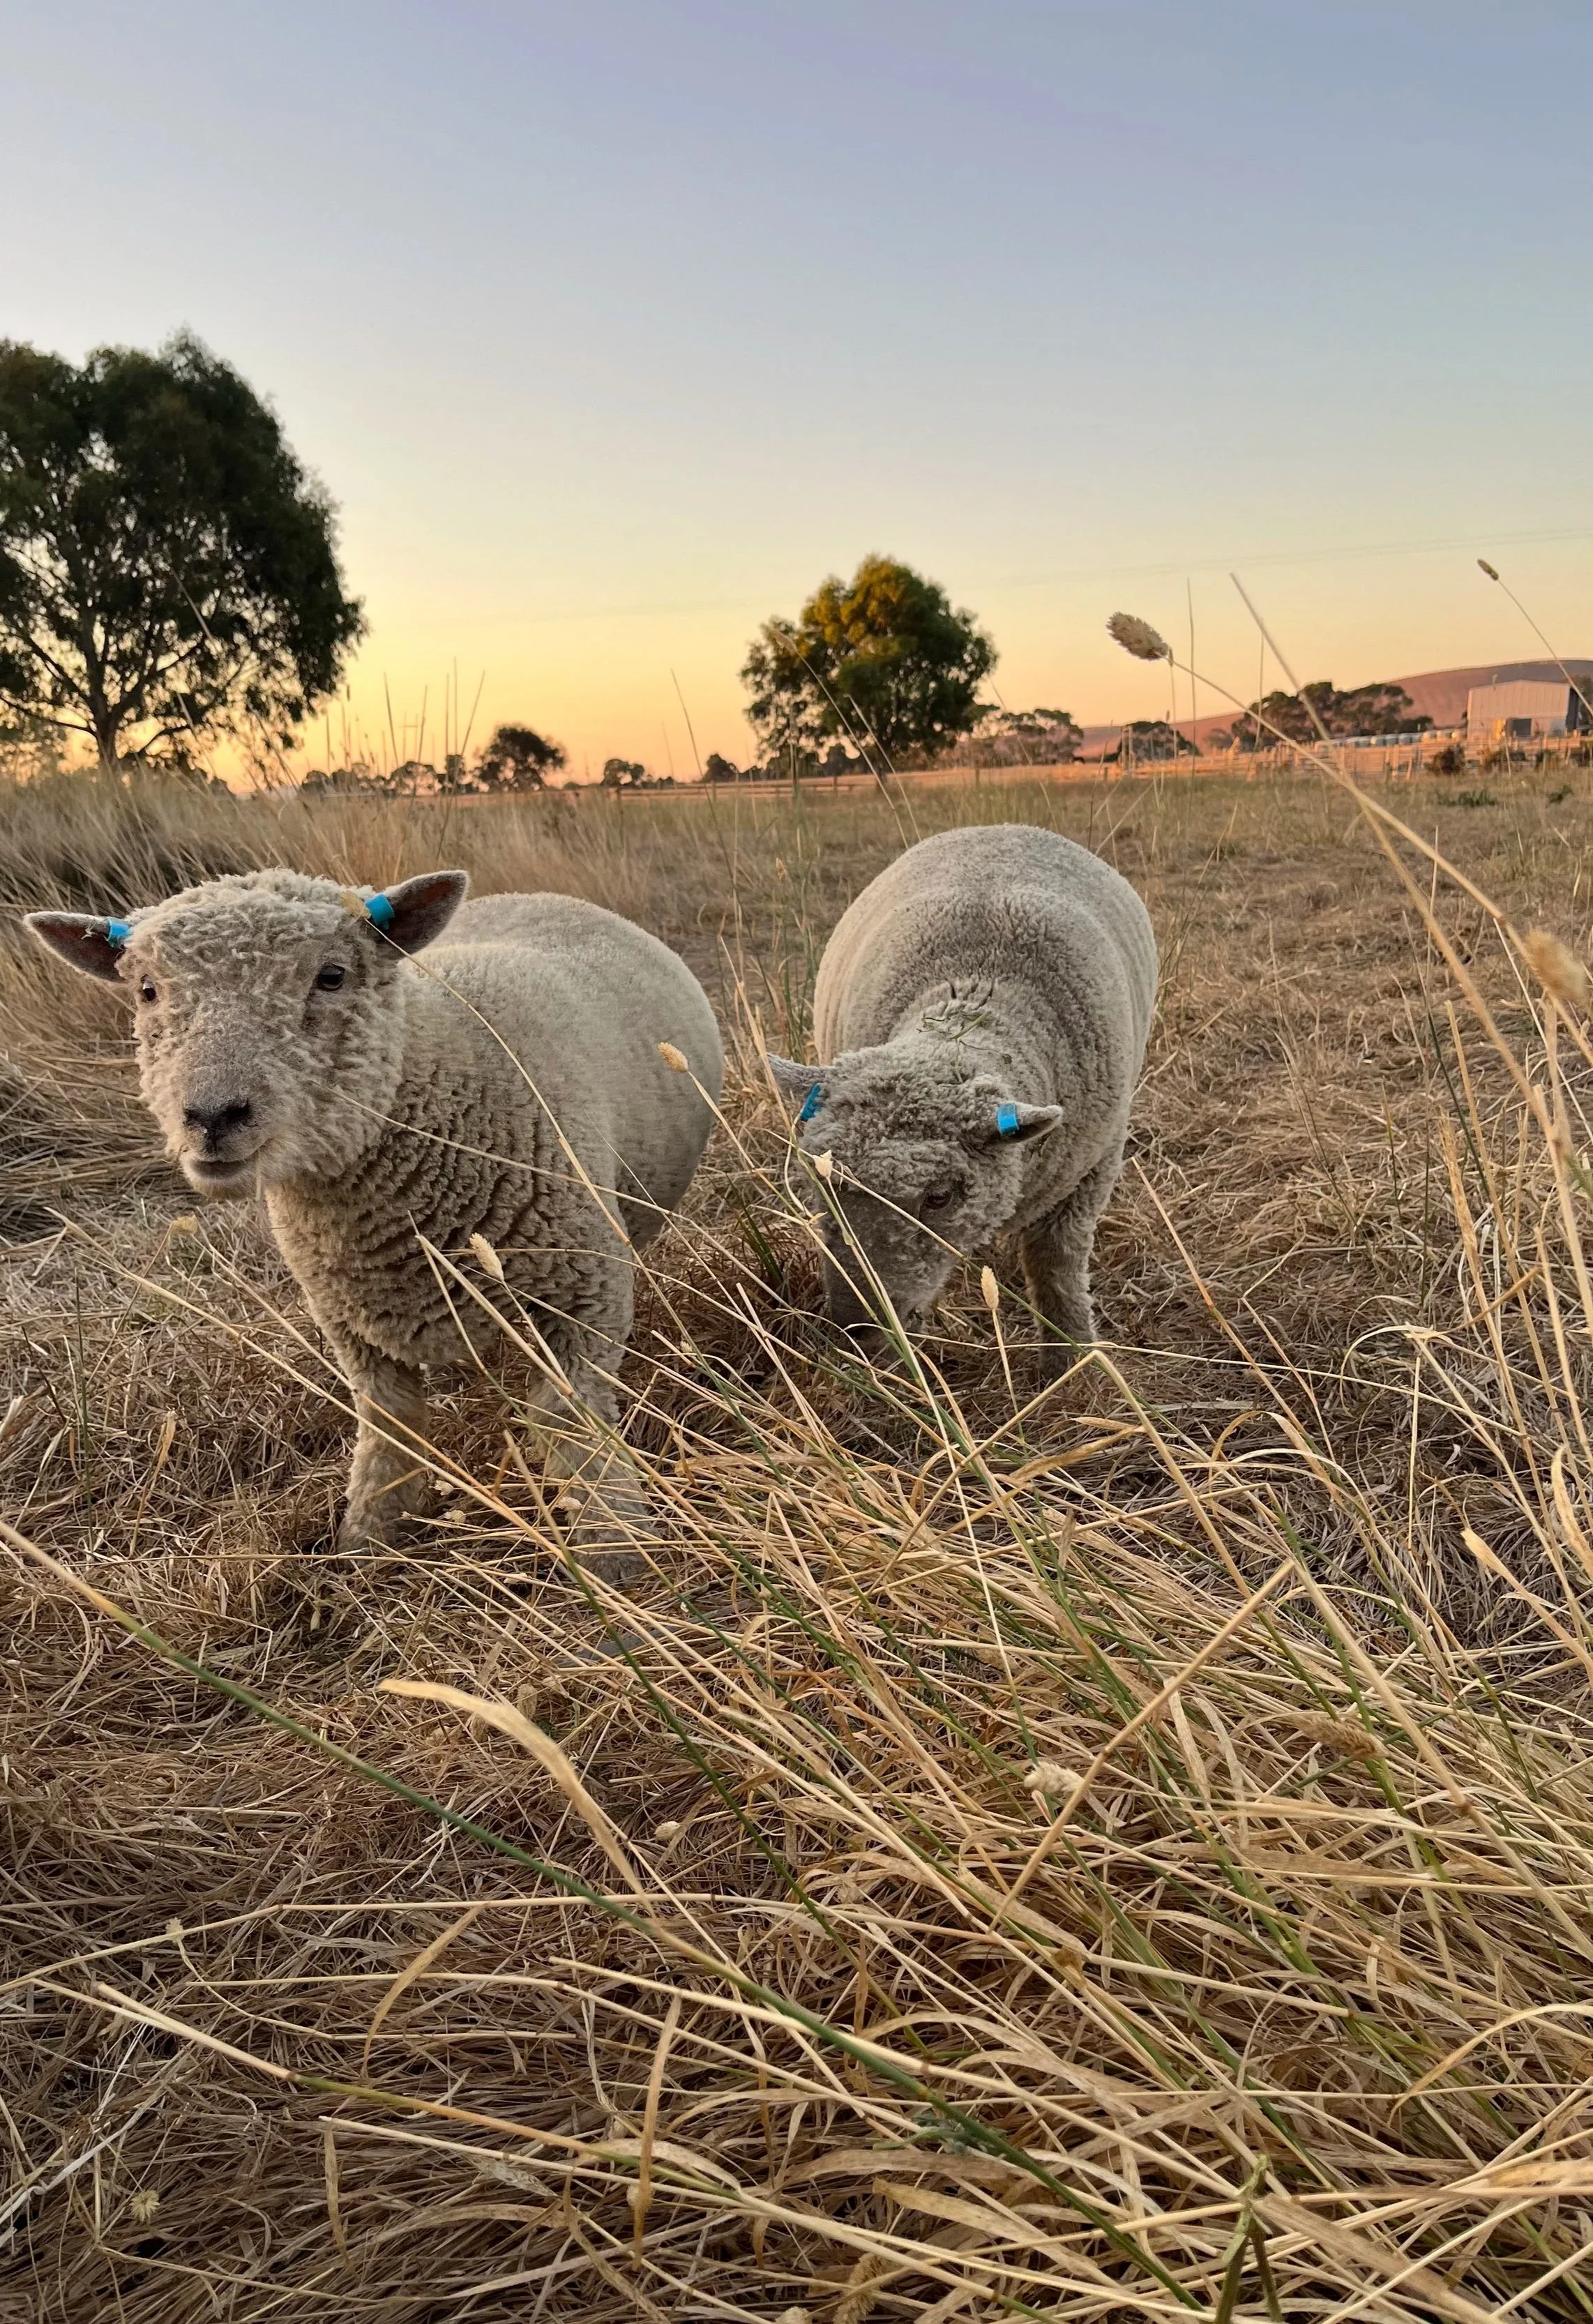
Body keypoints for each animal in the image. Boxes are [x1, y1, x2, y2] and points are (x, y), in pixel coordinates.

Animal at [27, 868, 723, 1568]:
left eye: (332, 977)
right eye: (146, 990)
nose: (212, 1116)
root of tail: (540, 896)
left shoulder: (581, 1306)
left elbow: (575, 1429)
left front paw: (616, 1547)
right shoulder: (356, 1333)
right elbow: (390, 1436)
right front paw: (366, 1546)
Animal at [767, 824, 1155, 1363]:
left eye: (939, 1197)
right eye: (818, 1185)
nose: (855, 1325)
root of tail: (1000, 828)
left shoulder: (1087, 1175)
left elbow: (1056, 1269)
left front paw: (1070, 1360)